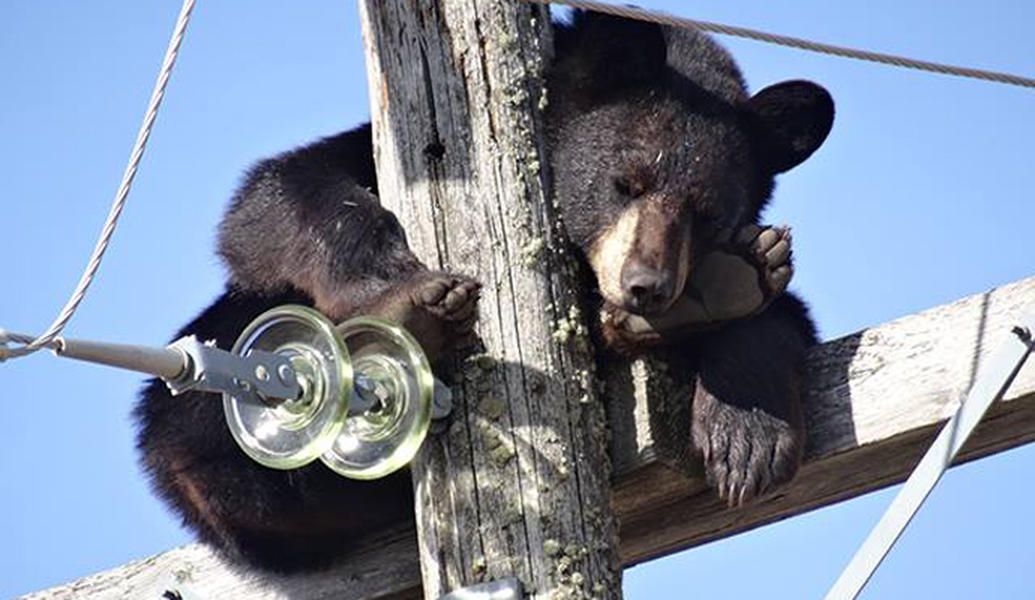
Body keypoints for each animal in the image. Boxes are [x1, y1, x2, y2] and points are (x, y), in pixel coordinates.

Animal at [135, 10, 832, 571]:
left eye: (706, 214)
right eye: (625, 182)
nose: (647, 287)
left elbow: (785, 315)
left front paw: (747, 427)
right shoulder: (379, 154)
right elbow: (271, 201)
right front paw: (399, 292)